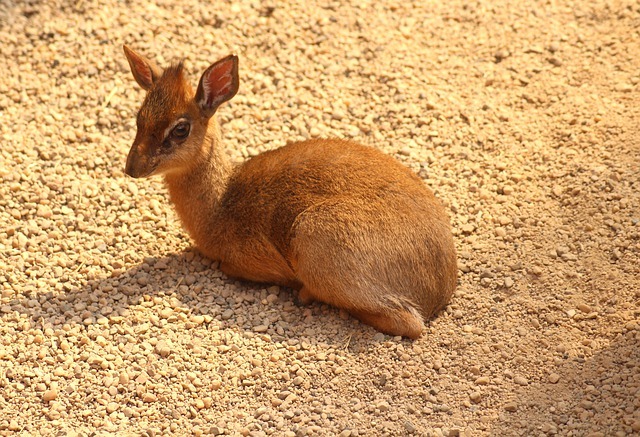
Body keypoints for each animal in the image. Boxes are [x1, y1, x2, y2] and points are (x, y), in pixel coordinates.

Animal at [122, 45, 458, 338]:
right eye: (139, 117)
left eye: (180, 128)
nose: (132, 167)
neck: (220, 205)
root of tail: (441, 285)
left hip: (316, 234)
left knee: (409, 323)